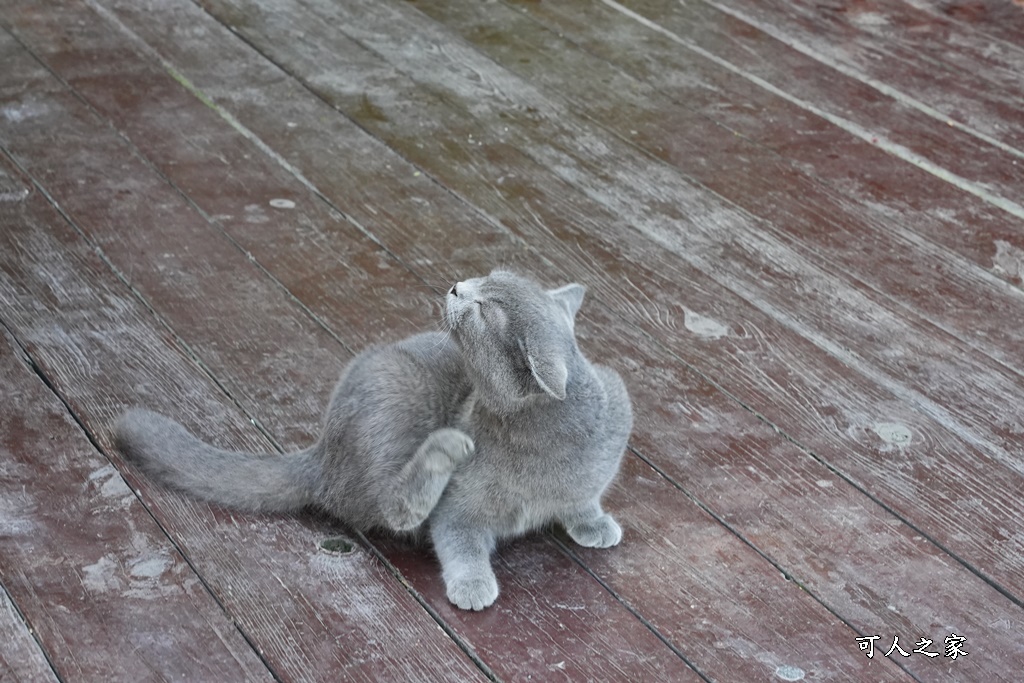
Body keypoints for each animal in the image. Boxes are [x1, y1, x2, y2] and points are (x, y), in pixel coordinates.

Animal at [117, 270, 630, 610]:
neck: (540, 441)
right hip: (397, 397)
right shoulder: (459, 509)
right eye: (484, 278)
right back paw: (445, 446)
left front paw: (594, 523)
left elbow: (583, 496)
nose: (457, 286)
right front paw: (472, 585)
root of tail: (322, 449)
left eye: (484, 308)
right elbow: (459, 540)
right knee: (391, 505)